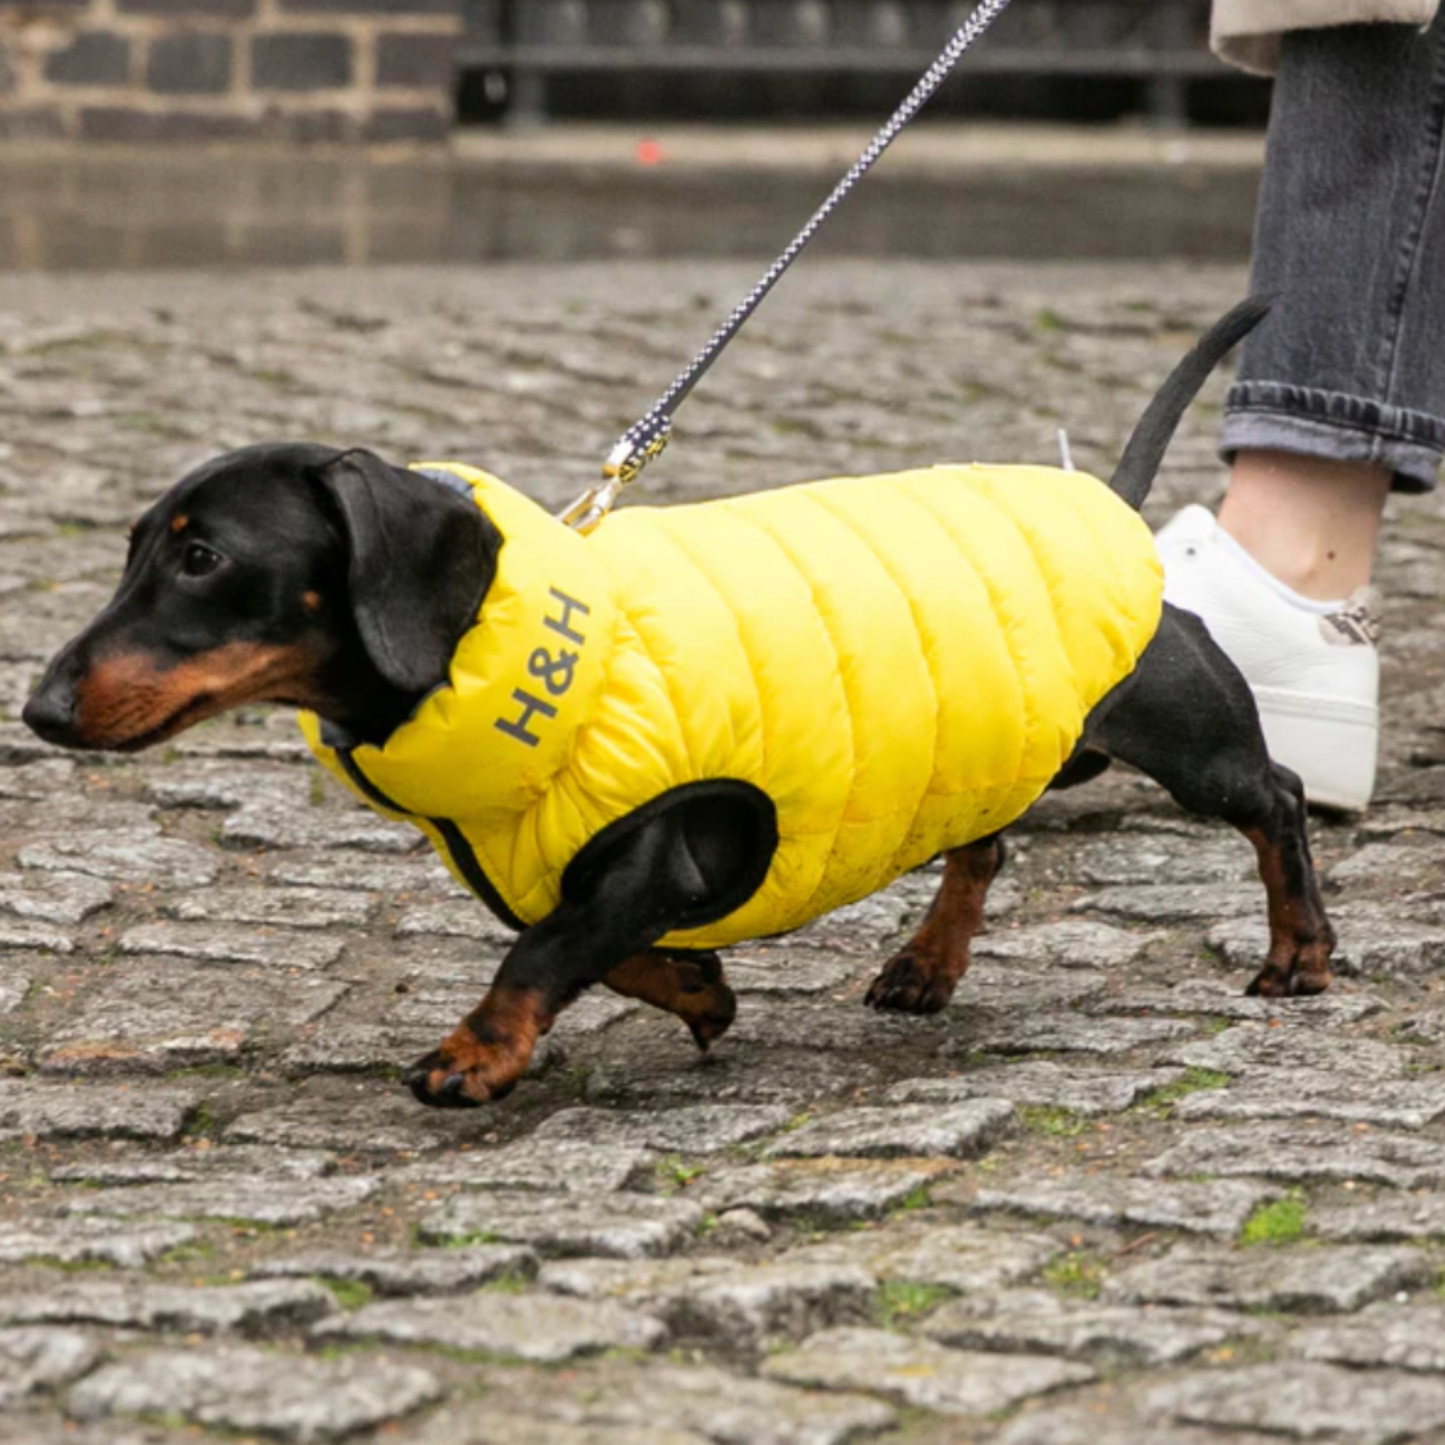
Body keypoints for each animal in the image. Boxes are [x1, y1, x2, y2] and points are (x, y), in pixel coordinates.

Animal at [25, 299, 1329, 1098]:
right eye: (134, 546)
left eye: (203, 558)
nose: (37, 709)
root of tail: (1109, 506)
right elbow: (597, 947)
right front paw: (697, 990)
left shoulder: (656, 843)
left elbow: (543, 947)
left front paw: (473, 1053)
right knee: (984, 844)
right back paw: (926, 963)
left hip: (1187, 737)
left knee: (1274, 794)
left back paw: (1299, 950)